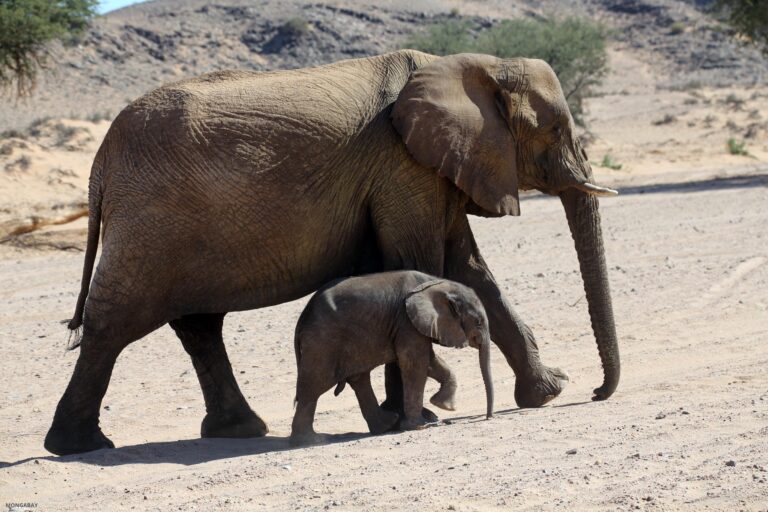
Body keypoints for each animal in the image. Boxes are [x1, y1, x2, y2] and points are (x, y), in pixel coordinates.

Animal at [290, 271, 494, 446]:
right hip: (322, 341)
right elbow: (415, 363)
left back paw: (387, 425)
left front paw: (442, 406)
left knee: (358, 379)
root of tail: (302, 319)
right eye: (478, 322)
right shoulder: (406, 321)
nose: (488, 417)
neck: (438, 284)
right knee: (314, 385)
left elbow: (428, 361)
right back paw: (312, 441)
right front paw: (421, 425)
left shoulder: (411, 324)